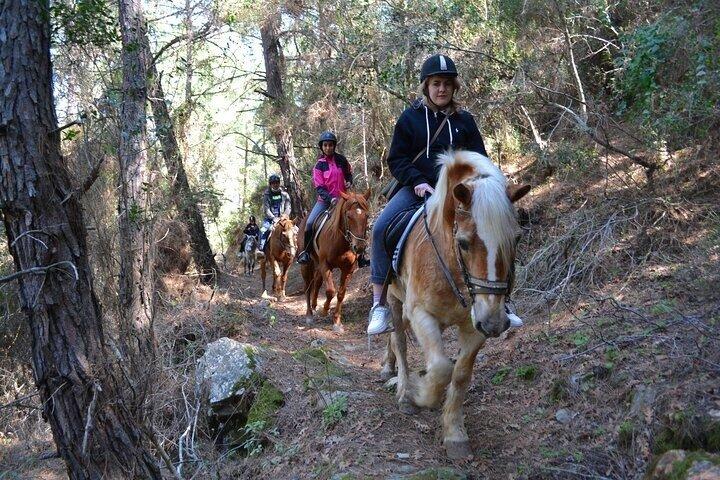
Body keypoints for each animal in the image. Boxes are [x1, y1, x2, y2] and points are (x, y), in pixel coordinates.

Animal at [300, 190, 370, 333]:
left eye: (366, 216)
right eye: (348, 216)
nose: (359, 247)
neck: (340, 241)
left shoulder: (348, 269)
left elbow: (341, 294)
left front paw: (337, 322)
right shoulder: (325, 264)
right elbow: (330, 291)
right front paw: (325, 310)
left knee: (317, 281)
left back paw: (314, 305)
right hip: (307, 265)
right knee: (308, 287)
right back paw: (309, 314)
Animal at [379, 150, 530, 459]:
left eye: (517, 239)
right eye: (463, 243)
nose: (495, 322)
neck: (450, 266)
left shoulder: (475, 326)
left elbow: (459, 374)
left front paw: (454, 433)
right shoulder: (420, 314)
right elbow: (440, 367)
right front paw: (419, 393)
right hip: (394, 299)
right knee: (399, 341)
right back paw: (403, 389)